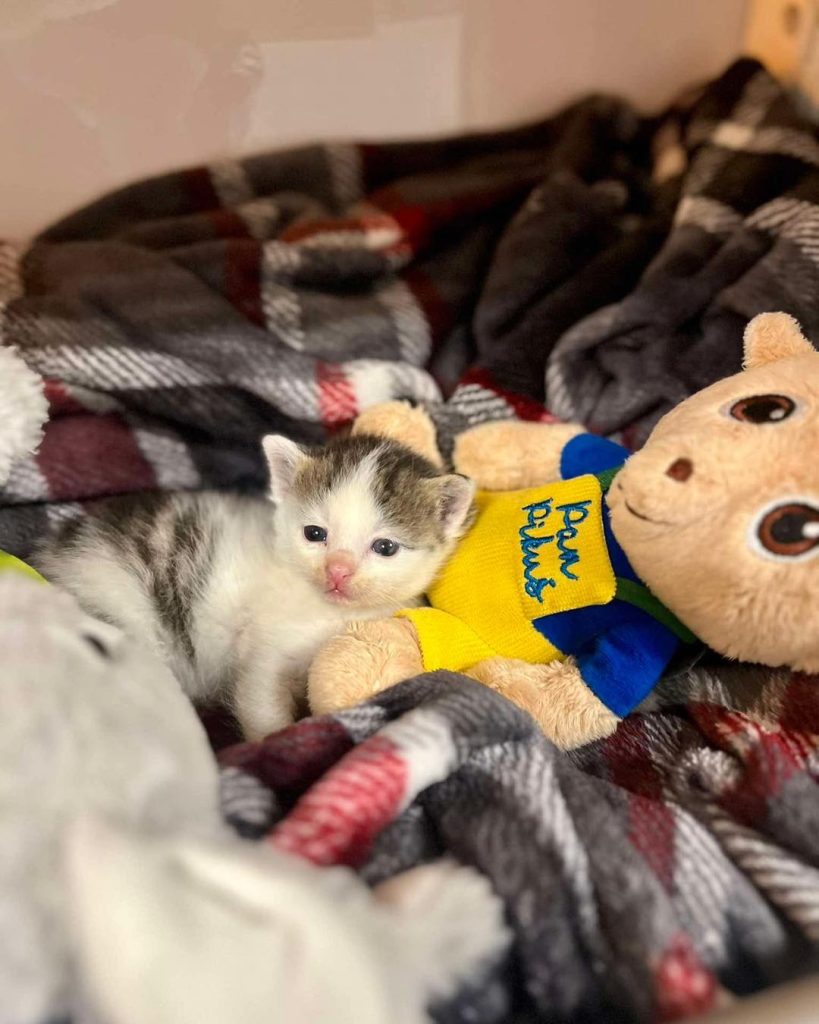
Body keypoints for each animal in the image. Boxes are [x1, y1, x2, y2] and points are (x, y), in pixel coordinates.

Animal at [35, 432, 475, 740]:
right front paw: (271, 740)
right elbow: (260, 696)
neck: (328, 611)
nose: (337, 571)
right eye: (315, 534)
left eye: (385, 547)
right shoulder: (264, 648)